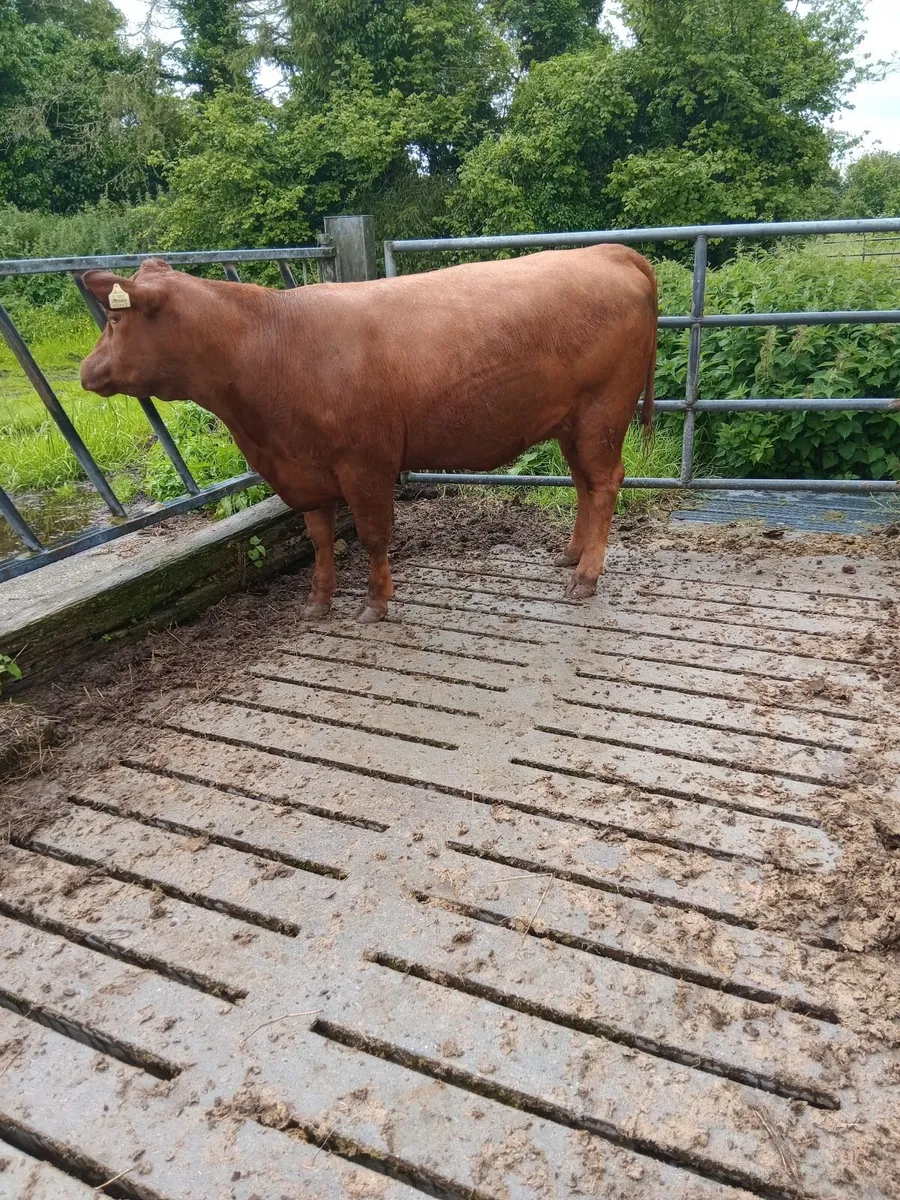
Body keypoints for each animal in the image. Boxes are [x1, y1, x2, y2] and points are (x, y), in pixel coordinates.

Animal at [80, 246, 658, 623]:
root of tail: (609, 250)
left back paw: (585, 578)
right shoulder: (303, 467)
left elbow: (373, 534)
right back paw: (569, 556)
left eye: (115, 317)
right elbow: (319, 537)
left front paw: (375, 604)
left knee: (605, 483)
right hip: (571, 422)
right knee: (584, 484)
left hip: (603, 413)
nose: (86, 371)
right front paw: (317, 602)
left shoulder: (366, 463)